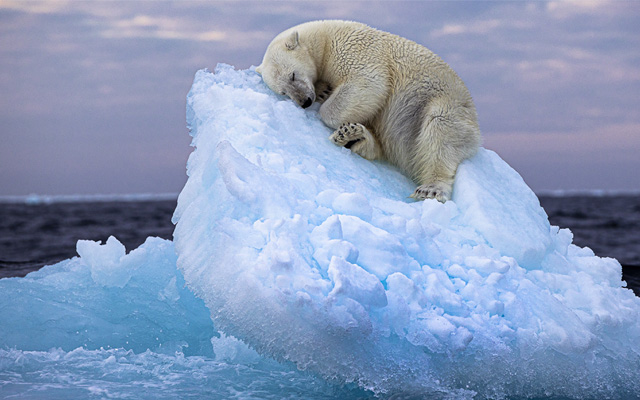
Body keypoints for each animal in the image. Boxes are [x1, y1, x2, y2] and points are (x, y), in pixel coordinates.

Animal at [256, 20, 481, 202]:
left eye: (293, 75)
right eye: (283, 92)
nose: (304, 101)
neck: (324, 38)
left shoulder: (354, 49)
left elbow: (369, 83)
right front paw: (323, 91)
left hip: (443, 104)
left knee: (440, 132)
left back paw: (430, 189)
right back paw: (353, 136)